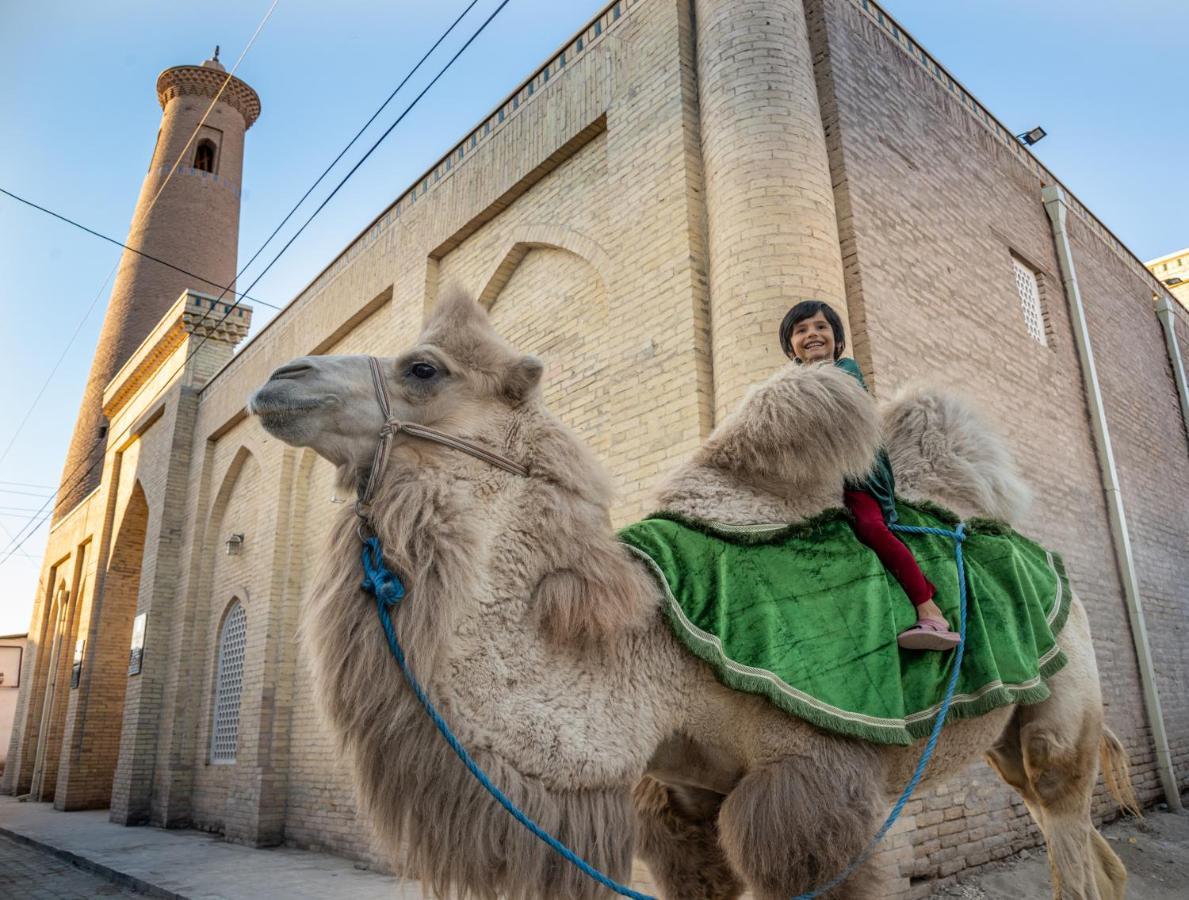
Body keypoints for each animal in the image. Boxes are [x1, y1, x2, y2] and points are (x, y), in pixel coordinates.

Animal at [248, 291, 1131, 894]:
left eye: (423, 368)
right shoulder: (679, 796)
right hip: (1004, 741)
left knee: (1064, 816)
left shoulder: (811, 782)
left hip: (1061, 710)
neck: (650, 659)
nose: (277, 378)